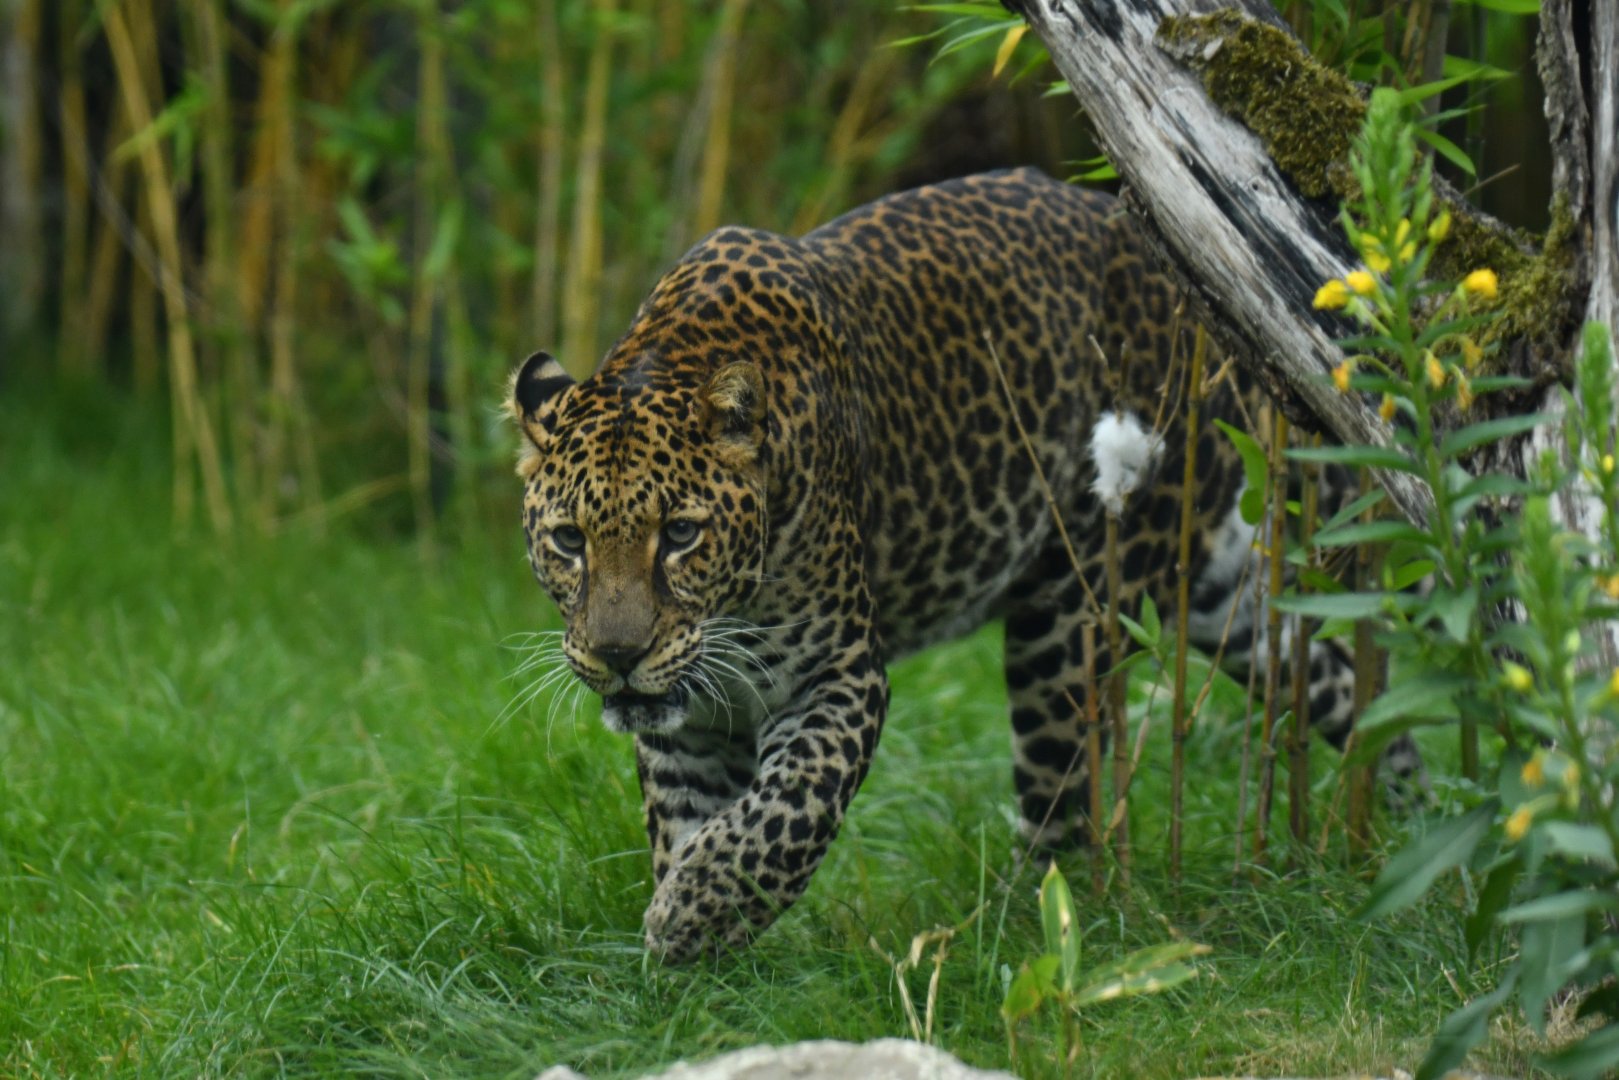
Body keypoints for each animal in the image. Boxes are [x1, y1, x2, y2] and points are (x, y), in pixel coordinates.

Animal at [507, 168, 1422, 962]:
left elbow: (791, 806)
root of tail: (1189, 306)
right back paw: (1411, 813)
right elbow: (690, 822)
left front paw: (693, 913)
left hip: (1069, 615)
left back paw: (1025, 931)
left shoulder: (840, 672)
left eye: (681, 534)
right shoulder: (690, 718)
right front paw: (694, 957)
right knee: (1338, 681)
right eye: (569, 541)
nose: (617, 655)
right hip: (1215, 595)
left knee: (1062, 806)